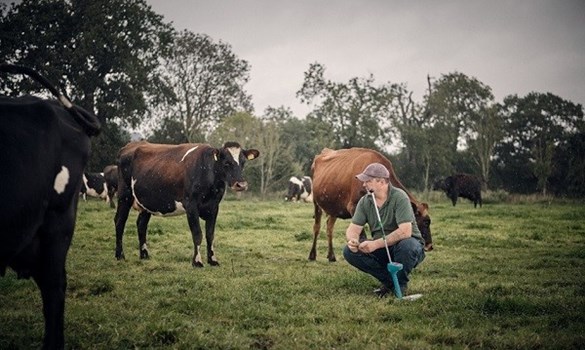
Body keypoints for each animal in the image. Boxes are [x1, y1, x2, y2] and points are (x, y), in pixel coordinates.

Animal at [113, 139, 258, 266]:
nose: (241, 185)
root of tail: (128, 146)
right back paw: (120, 255)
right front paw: (197, 261)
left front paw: (212, 260)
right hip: (124, 195)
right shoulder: (191, 205)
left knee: (141, 225)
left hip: (146, 201)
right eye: (226, 162)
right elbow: (197, 234)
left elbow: (210, 235)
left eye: (243, 162)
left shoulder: (214, 206)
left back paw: (144, 255)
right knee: (120, 221)